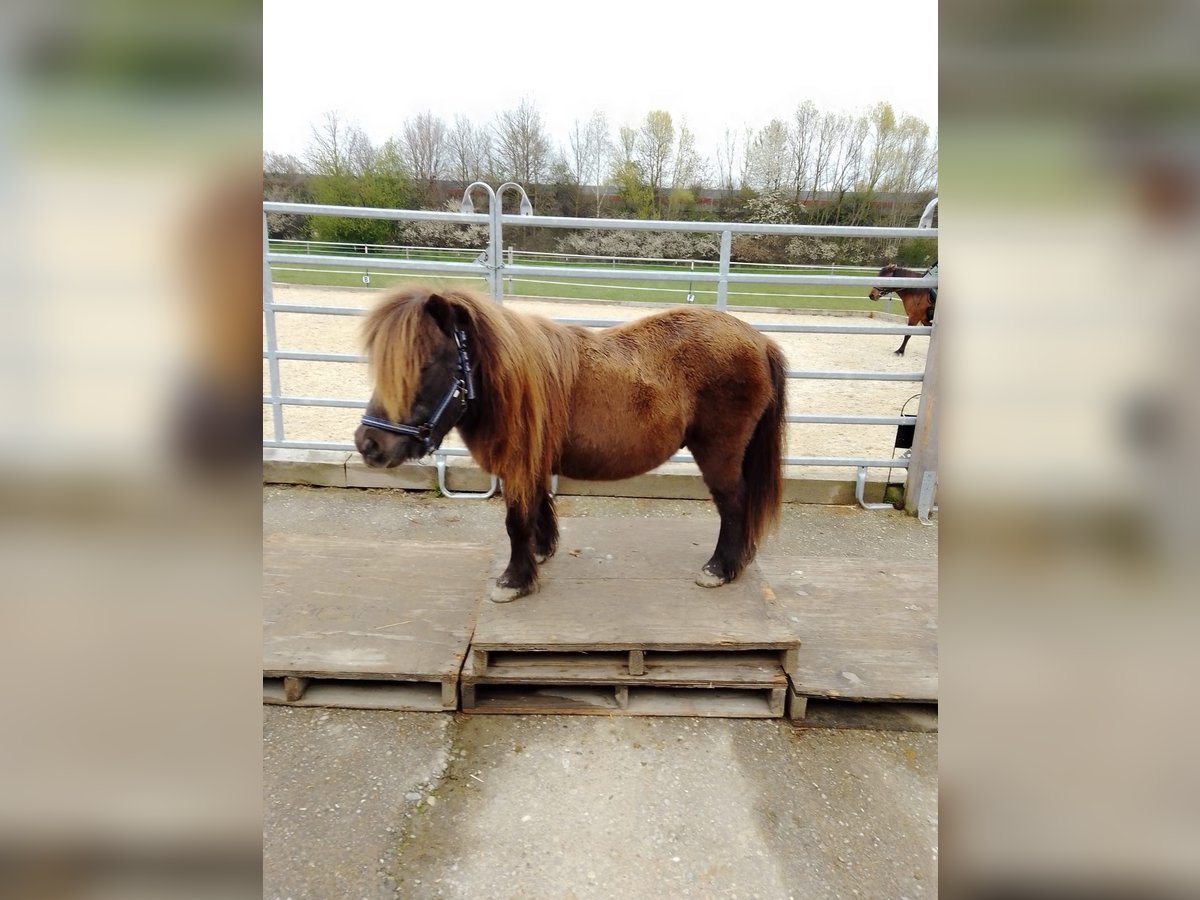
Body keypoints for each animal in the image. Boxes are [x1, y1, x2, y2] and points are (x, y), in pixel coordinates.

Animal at [352, 285, 787, 602]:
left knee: (733, 503)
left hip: (719, 452)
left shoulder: (518, 463)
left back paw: (719, 568)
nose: (368, 443)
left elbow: (515, 521)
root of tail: (758, 339)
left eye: (423, 365)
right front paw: (540, 552)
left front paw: (513, 580)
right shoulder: (532, 461)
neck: (509, 384)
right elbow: (538, 507)